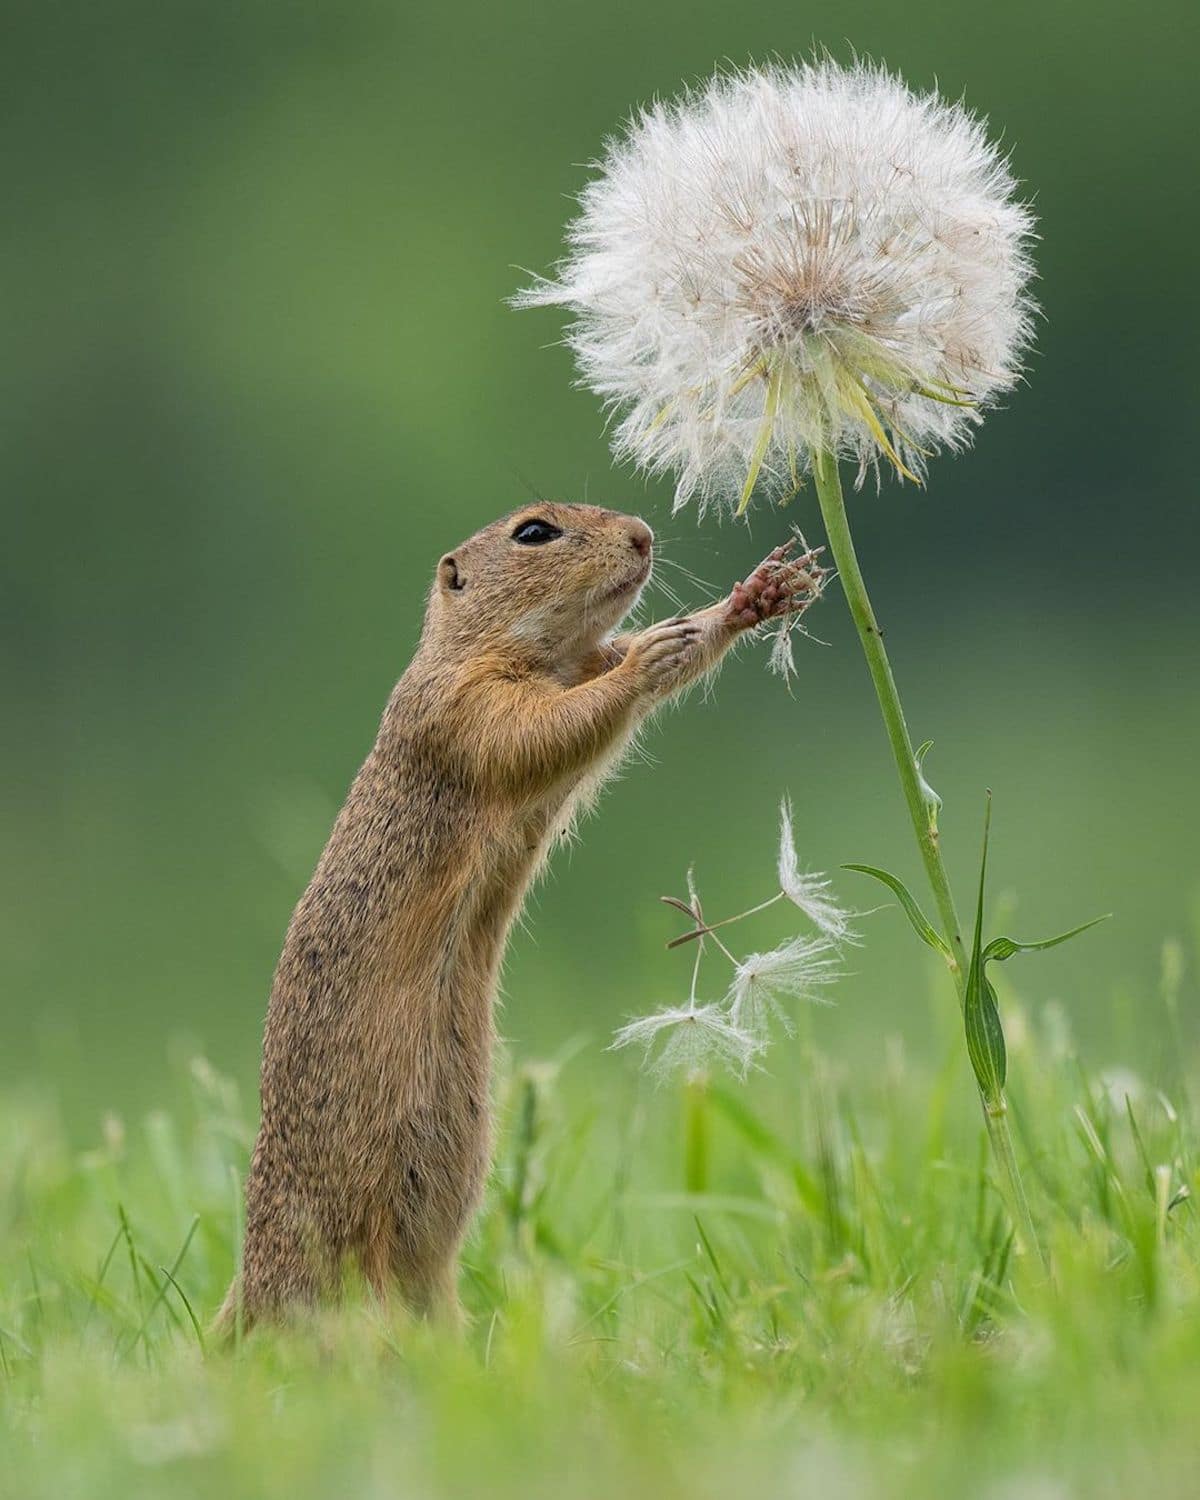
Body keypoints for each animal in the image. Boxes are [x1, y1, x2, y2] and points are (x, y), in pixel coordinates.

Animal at [222, 501, 828, 1326]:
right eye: (534, 532)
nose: (642, 534)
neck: (527, 654)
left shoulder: (574, 665)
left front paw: (751, 599)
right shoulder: (466, 706)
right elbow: (543, 729)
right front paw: (654, 657)